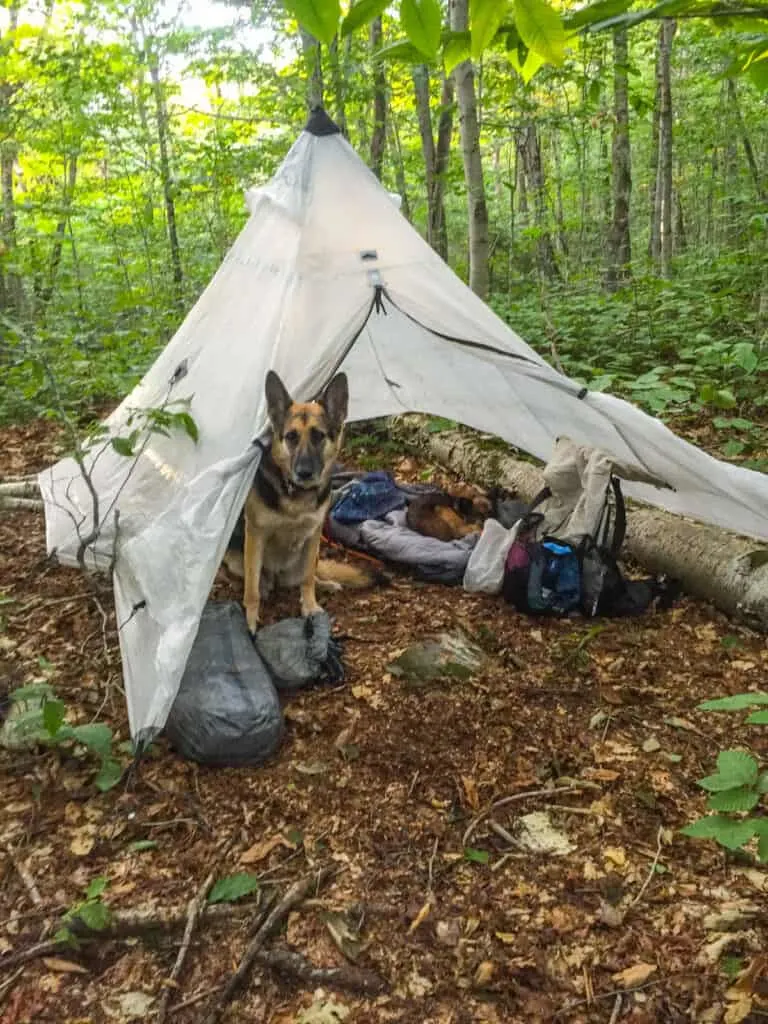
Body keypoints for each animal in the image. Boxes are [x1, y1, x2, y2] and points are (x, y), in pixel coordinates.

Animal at [224, 372, 380, 630]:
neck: (297, 495)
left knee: (309, 575)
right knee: (255, 580)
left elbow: (307, 579)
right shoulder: (256, 535)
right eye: (291, 437)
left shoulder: (314, 534)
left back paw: (325, 584)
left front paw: (310, 606)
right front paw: (250, 621)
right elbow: (251, 590)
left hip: (310, 554)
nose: (304, 473)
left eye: (319, 436)